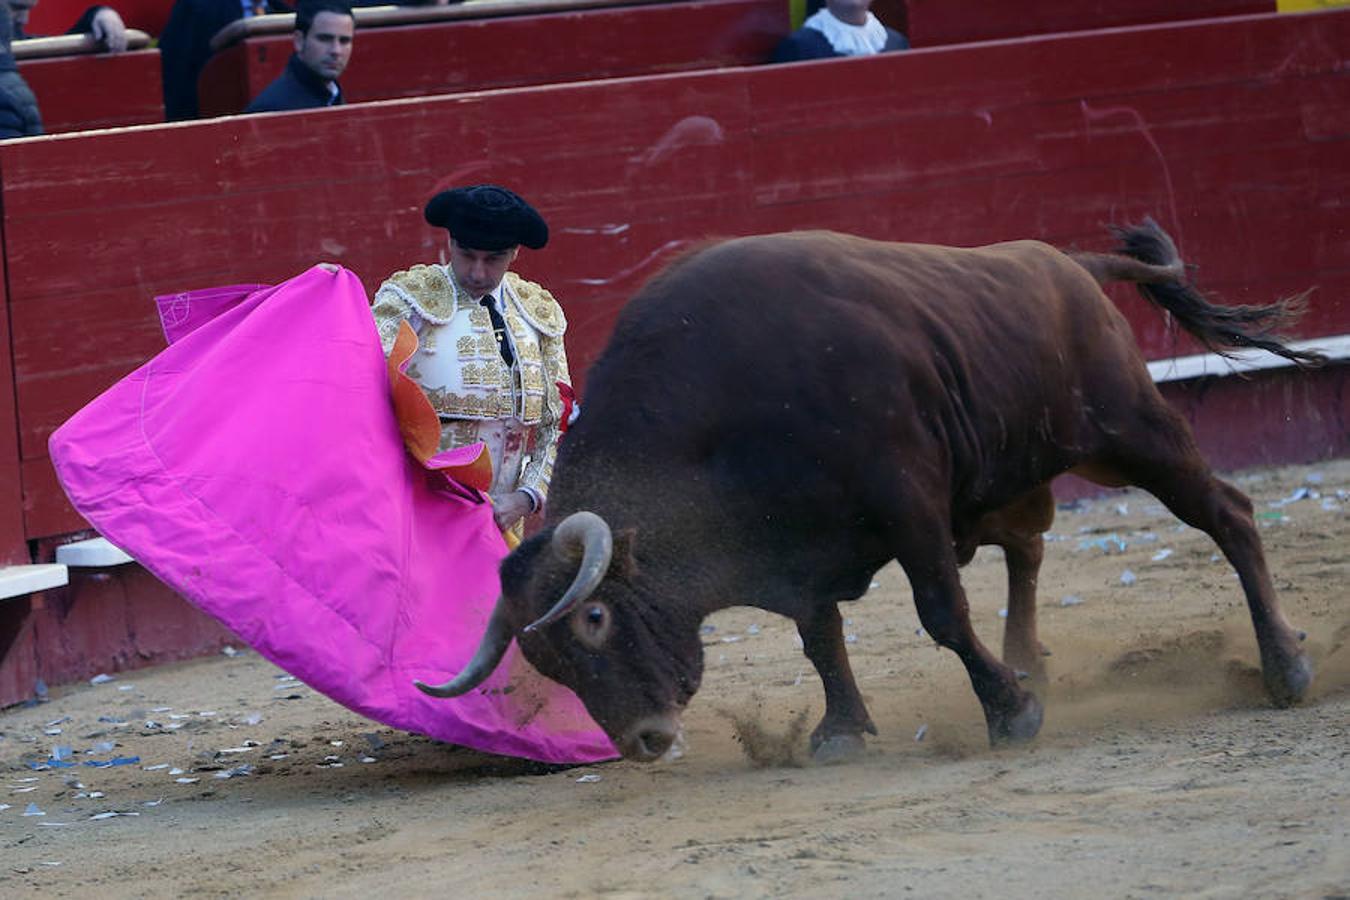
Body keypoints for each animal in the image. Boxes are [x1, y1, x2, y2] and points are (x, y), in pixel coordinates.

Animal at [410, 218, 1317, 761]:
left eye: (594, 618)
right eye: (544, 659)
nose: (646, 739)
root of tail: (1066, 263)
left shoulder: (906, 501)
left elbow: (941, 613)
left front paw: (1010, 713)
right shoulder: (793, 545)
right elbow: (822, 639)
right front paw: (842, 731)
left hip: (1131, 430)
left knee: (1229, 515)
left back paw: (1285, 668)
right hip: (1020, 469)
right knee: (1028, 544)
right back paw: (1035, 656)